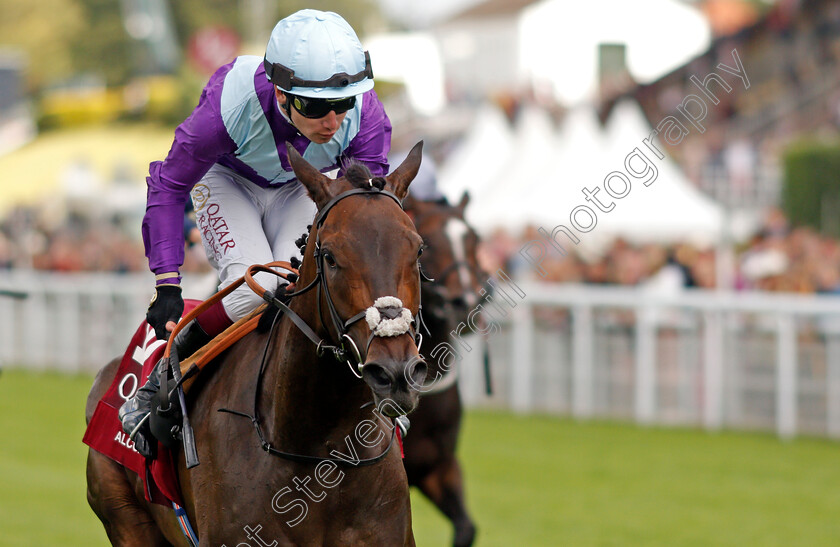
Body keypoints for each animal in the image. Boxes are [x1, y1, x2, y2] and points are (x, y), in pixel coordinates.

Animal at [86, 143, 430, 544]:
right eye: (330, 256)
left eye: (418, 250)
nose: (396, 373)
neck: (320, 450)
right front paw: (166, 302)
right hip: (125, 518)